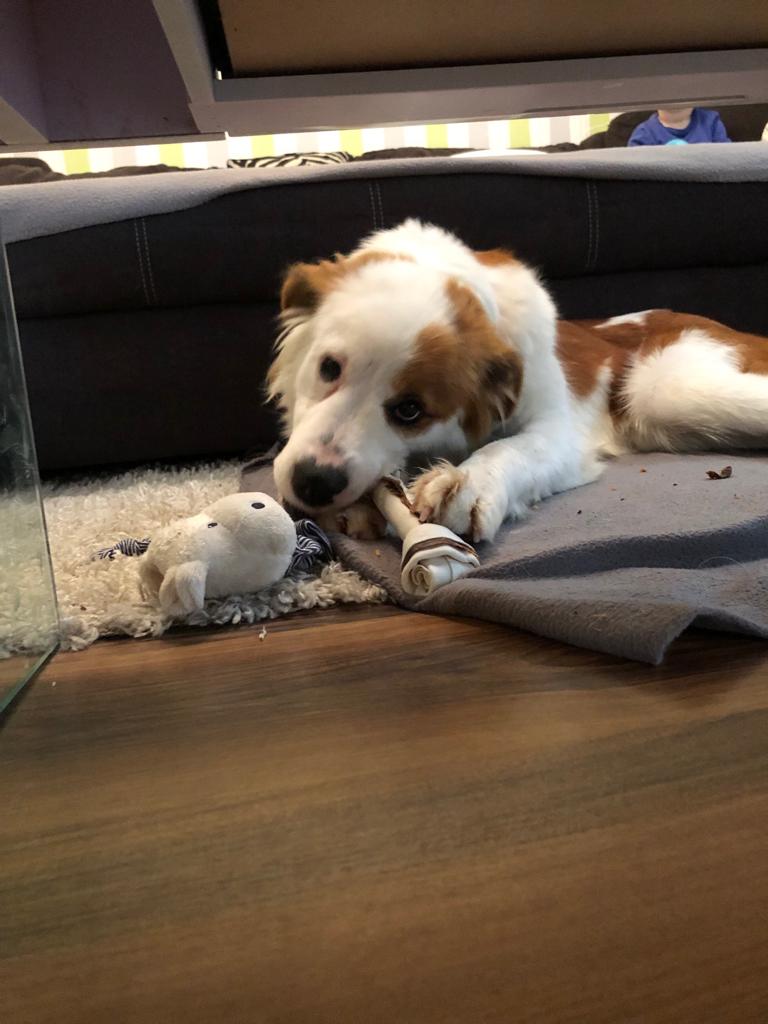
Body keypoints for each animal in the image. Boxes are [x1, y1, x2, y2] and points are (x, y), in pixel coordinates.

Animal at [268, 219, 768, 543]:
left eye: (410, 409)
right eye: (329, 367)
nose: (313, 482)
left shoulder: (558, 430)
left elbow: (513, 450)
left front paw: (468, 484)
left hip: (667, 392)